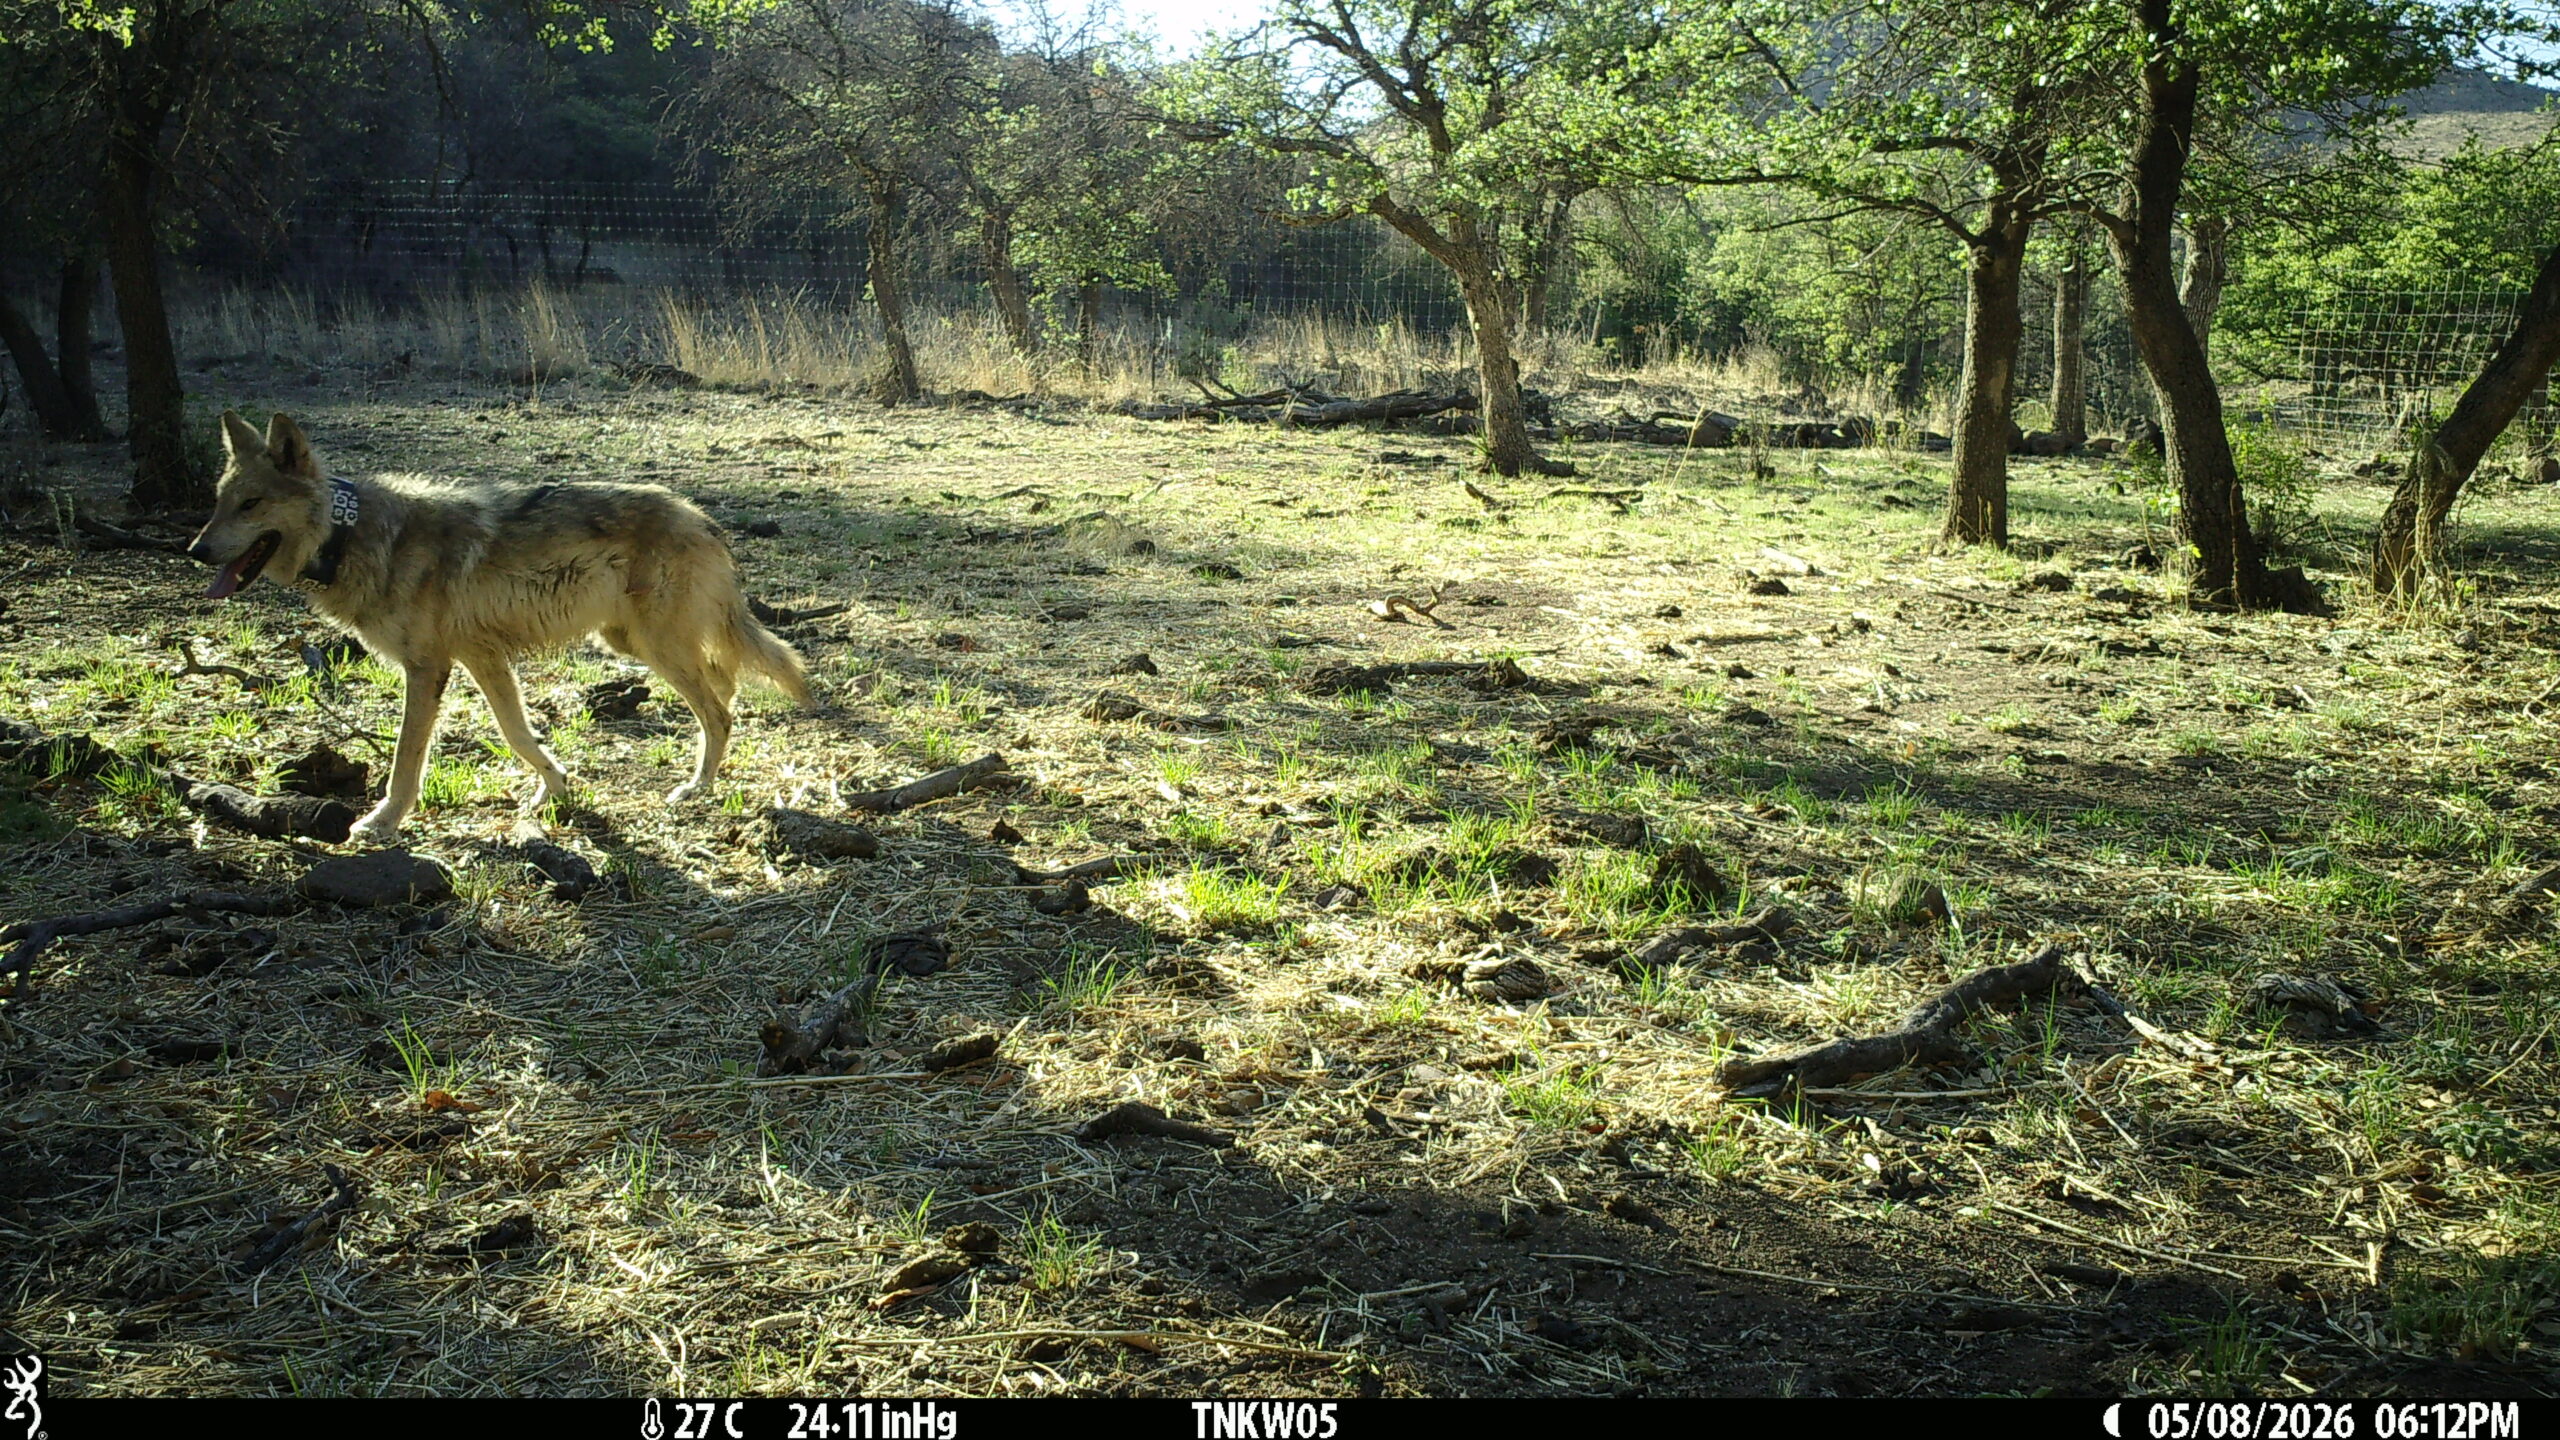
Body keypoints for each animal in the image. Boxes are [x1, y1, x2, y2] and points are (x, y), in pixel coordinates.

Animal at [188, 411, 813, 847]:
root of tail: (701, 516)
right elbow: (518, 734)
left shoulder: (428, 668)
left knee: (720, 710)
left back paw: (697, 787)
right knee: (724, 684)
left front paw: (382, 823)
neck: (351, 539)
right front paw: (553, 789)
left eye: (251, 504)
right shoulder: (481, 658)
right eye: (218, 503)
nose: (194, 550)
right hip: (633, 642)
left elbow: (405, 762)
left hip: (654, 647)